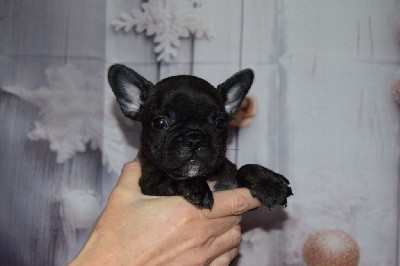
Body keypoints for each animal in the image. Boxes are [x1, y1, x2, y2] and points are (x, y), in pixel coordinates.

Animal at [108, 63, 292, 209]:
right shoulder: (149, 185)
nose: (194, 137)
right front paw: (195, 185)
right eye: (159, 123)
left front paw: (270, 183)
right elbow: (168, 178)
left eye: (220, 122)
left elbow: (245, 167)